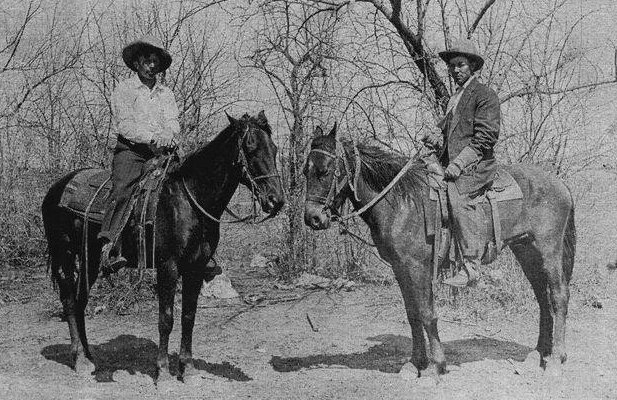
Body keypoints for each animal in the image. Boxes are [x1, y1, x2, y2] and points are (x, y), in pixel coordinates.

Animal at [41, 111, 284, 380]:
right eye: (250, 148)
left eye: (274, 148)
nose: (276, 200)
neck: (188, 200)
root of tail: (57, 187)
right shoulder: (168, 266)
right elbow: (166, 319)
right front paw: (164, 371)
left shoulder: (196, 267)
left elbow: (188, 316)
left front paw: (187, 368)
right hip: (64, 253)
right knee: (69, 300)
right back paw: (79, 360)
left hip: (91, 259)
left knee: (80, 300)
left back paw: (89, 357)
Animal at [302, 126, 572, 378]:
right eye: (305, 171)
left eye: (325, 170)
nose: (312, 218)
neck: (402, 202)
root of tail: (560, 184)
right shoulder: (400, 269)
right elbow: (412, 315)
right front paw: (415, 364)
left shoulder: (418, 268)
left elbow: (427, 314)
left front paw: (435, 366)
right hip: (526, 250)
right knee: (542, 298)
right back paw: (538, 355)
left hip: (548, 250)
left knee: (558, 297)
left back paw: (555, 360)